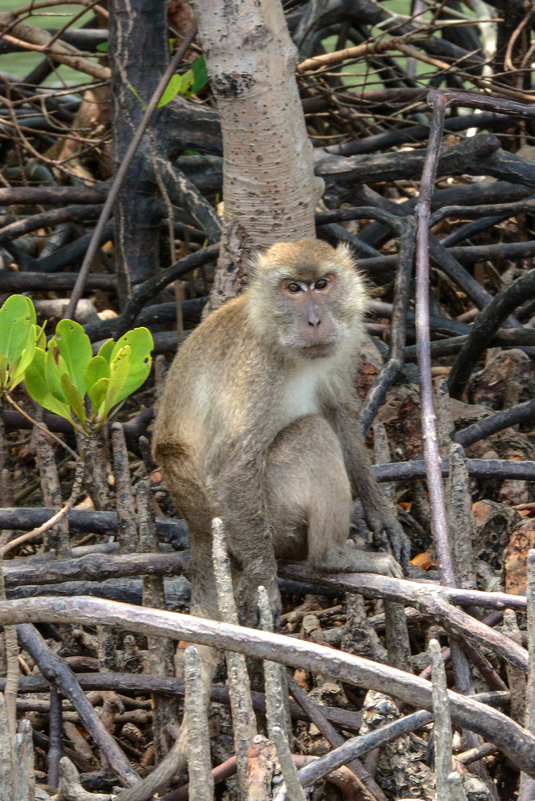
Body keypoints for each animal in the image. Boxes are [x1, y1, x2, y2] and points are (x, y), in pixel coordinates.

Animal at [153, 241, 408, 628]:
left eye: (321, 284)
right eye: (293, 289)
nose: (315, 320)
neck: (281, 343)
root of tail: (199, 531)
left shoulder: (342, 349)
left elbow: (339, 417)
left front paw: (381, 513)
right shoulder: (256, 371)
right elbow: (232, 466)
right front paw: (262, 580)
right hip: (271, 522)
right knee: (312, 434)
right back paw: (331, 557)